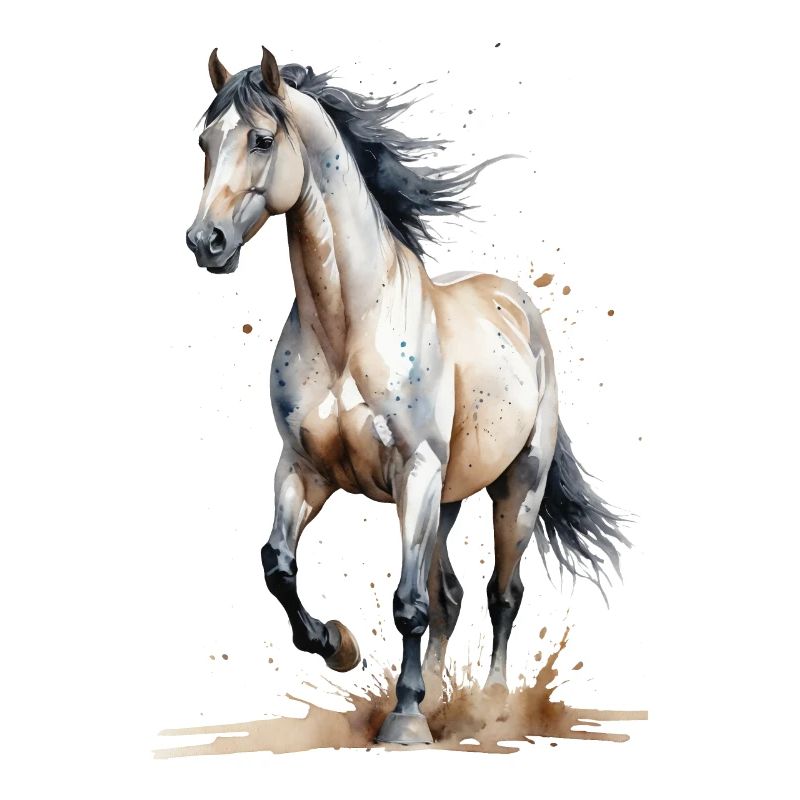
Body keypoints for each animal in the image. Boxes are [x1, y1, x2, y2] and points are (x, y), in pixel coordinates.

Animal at [185, 47, 629, 745]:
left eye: (260, 139)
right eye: (204, 141)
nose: (206, 242)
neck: (349, 328)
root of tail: (517, 305)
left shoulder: (414, 471)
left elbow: (408, 604)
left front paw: (405, 719)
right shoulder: (305, 469)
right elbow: (278, 566)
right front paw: (339, 646)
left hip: (516, 486)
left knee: (501, 593)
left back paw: (489, 706)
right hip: (446, 498)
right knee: (450, 597)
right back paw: (442, 698)